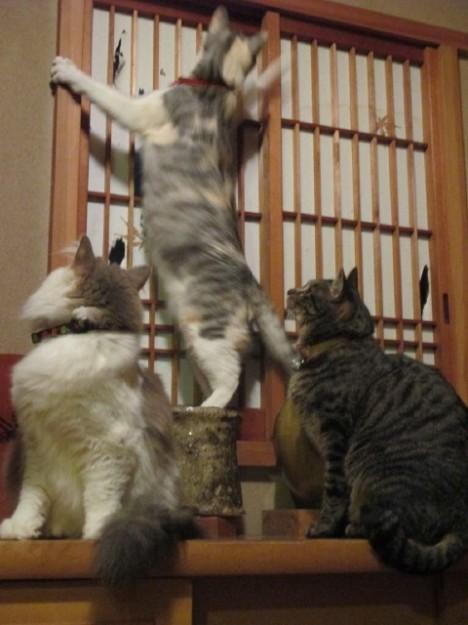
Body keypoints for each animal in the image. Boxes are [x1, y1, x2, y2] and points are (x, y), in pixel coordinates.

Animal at [0, 236, 198, 584]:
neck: (85, 331)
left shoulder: (107, 448)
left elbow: (100, 498)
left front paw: (96, 535)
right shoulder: (37, 448)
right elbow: (31, 498)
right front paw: (20, 529)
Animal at [50, 6, 295, 408]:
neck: (213, 86)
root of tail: (251, 282)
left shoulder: (141, 110)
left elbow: (104, 91)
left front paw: (69, 71)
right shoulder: (235, 103)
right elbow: (253, 87)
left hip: (208, 330)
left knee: (231, 376)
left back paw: (206, 409)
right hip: (200, 338)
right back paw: (195, 405)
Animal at [287, 267, 468, 573]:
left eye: (308, 290)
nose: (290, 290)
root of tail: (461, 520)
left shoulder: (334, 434)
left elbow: (333, 490)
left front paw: (324, 528)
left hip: (373, 472)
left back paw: (356, 527)